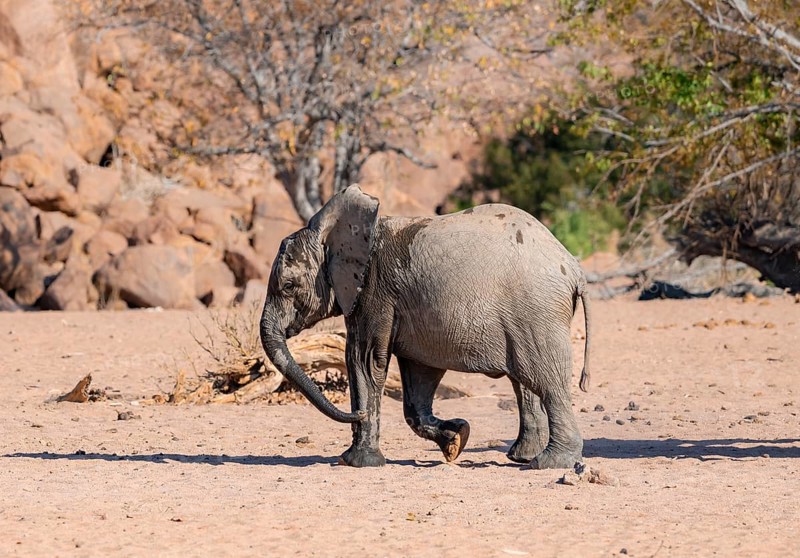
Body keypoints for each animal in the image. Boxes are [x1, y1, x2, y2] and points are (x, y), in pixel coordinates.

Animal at [260, 184, 592, 469]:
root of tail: (574, 267)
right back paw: (522, 456)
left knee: (548, 383)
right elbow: (418, 380)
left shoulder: (372, 291)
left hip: (537, 314)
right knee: (525, 382)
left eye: (288, 286)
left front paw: (356, 462)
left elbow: (363, 361)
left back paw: (548, 463)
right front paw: (457, 438)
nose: (357, 412)